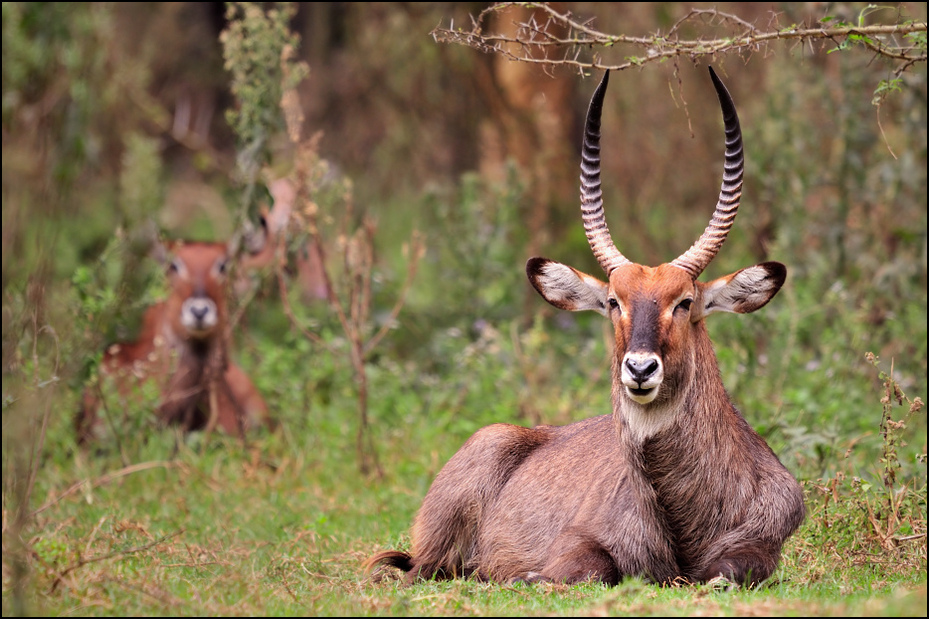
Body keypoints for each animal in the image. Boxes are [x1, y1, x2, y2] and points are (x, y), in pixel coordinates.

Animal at [368, 69, 804, 592]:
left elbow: (728, 573)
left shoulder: (760, 551)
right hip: (434, 548)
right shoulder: (578, 543)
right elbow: (592, 568)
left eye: (684, 303)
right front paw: (524, 576)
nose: (640, 369)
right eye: (614, 302)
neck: (683, 523)